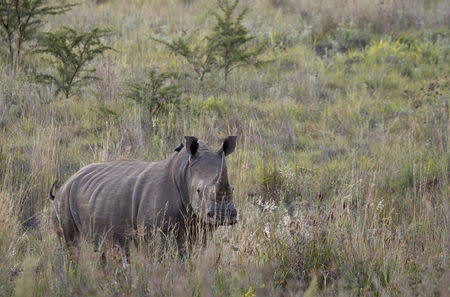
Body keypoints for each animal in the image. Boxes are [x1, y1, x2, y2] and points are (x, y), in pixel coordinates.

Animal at [50, 135, 237, 253]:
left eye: (233, 189)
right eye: (198, 190)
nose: (224, 215)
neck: (184, 172)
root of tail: (65, 182)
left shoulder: (200, 226)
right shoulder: (153, 233)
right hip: (63, 200)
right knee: (72, 246)